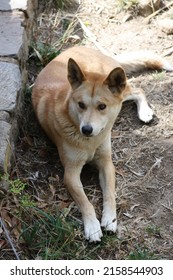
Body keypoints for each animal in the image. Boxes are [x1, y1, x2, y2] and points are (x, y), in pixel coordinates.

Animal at [32, 46, 172, 243]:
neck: (90, 142)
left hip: (120, 92)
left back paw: (145, 112)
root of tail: (85, 47)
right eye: (81, 104)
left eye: (102, 106)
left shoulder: (106, 164)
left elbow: (110, 194)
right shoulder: (70, 173)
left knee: (138, 89)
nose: (86, 129)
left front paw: (110, 220)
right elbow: (85, 201)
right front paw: (92, 227)